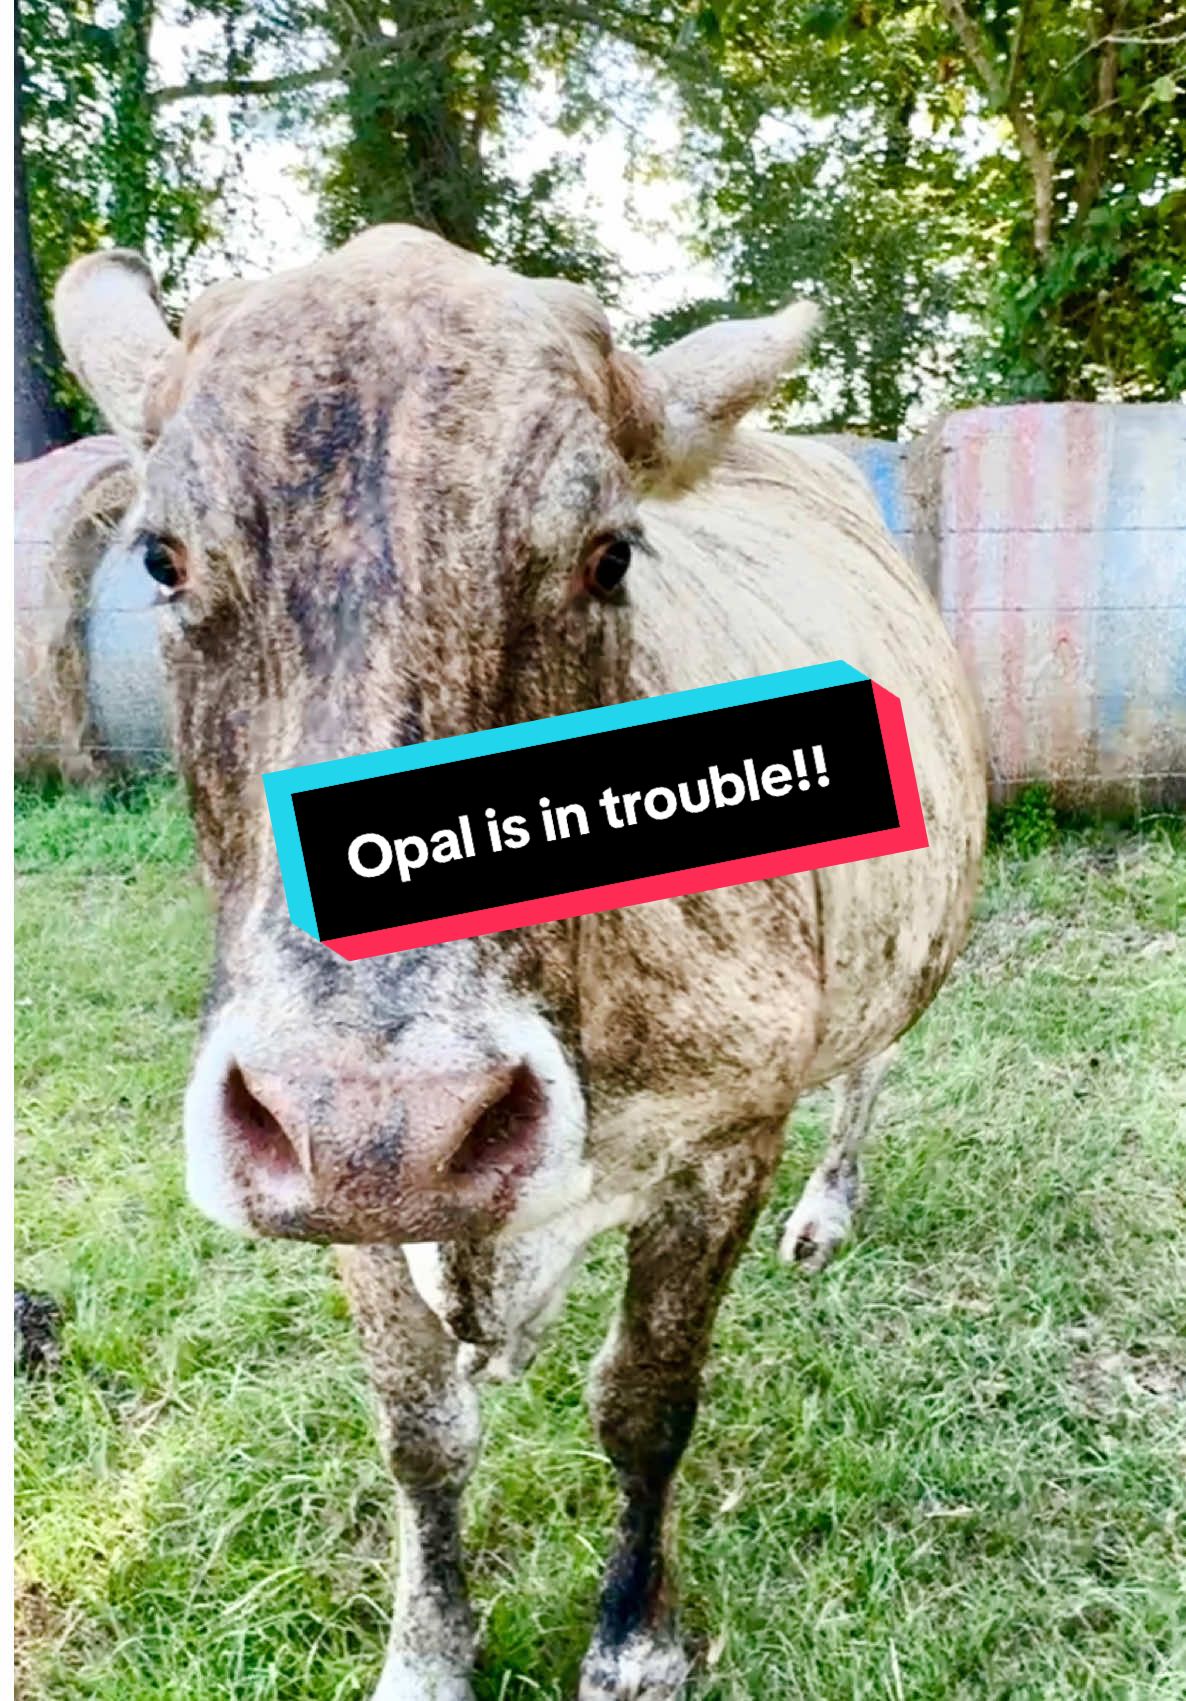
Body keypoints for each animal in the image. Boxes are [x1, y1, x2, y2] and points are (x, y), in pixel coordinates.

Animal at [53, 225, 985, 1701]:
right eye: (159, 557)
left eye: (608, 557)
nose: (388, 1130)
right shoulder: (340, 1205)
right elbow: (418, 1427)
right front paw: (429, 1649)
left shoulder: (726, 1135)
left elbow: (644, 1401)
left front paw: (635, 1633)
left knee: (872, 1069)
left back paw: (831, 1206)